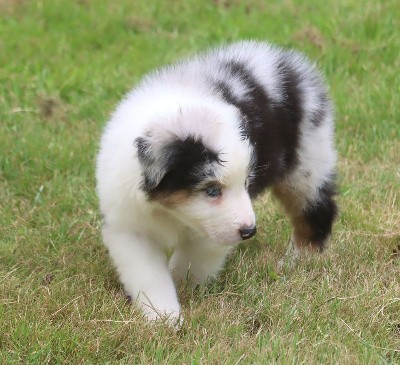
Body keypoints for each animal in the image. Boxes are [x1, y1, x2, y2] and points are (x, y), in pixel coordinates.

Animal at [97, 41, 338, 322]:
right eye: (212, 190)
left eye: (246, 183)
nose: (249, 231)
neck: (170, 210)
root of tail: (288, 60)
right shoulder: (129, 227)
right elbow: (149, 275)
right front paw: (164, 318)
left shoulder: (212, 230)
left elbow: (191, 261)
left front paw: (182, 287)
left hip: (307, 159)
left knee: (315, 207)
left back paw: (299, 259)